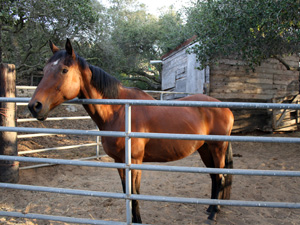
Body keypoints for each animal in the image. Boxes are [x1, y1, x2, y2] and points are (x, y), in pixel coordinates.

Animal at [28, 38, 234, 221]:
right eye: (45, 70)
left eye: (64, 70)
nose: (34, 106)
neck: (119, 111)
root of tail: (225, 108)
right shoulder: (120, 162)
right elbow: (127, 193)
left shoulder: (134, 162)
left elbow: (134, 195)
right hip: (205, 149)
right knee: (214, 177)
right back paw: (210, 209)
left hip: (217, 148)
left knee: (220, 178)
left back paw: (213, 214)